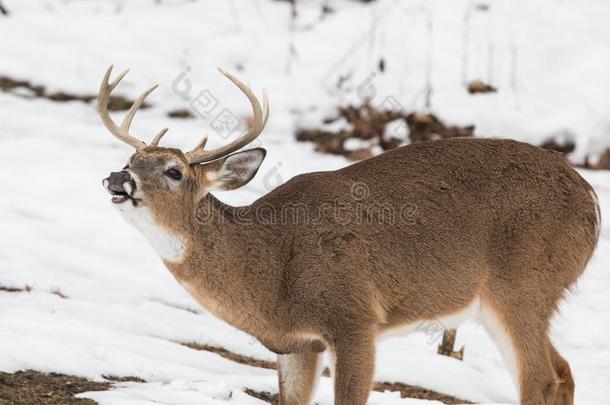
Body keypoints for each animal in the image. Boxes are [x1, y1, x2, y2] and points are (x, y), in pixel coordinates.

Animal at [100, 66, 600, 404]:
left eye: (174, 171)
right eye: (130, 162)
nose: (117, 179)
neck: (271, 271)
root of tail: (592, 200)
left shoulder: (355, 316)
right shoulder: (297, 344)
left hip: (523, 285)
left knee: (541, 379)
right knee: (565, 371)